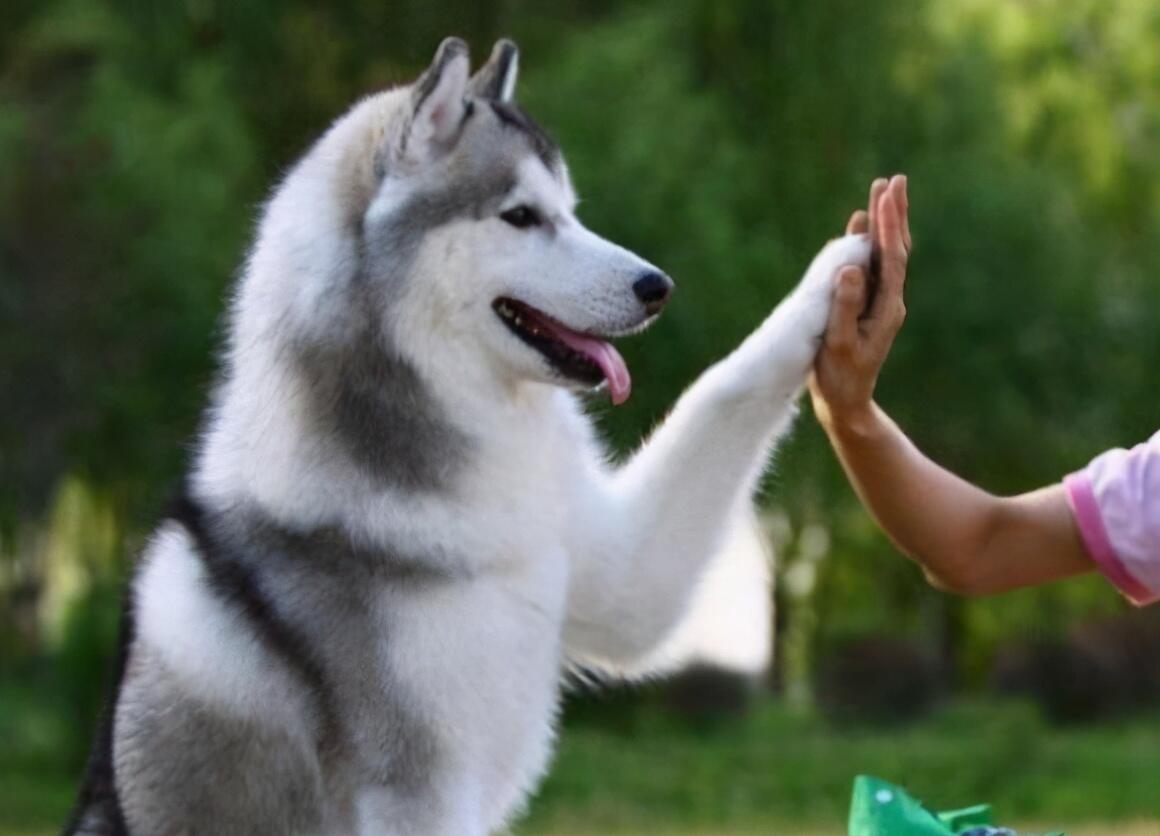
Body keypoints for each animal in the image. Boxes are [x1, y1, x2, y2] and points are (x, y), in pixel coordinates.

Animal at [67, 35, 872, 830]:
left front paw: (843, 267)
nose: (657, 287)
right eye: (520, 216)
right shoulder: (418, 793)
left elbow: (726, 386)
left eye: (571, 211)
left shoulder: (621, 579)